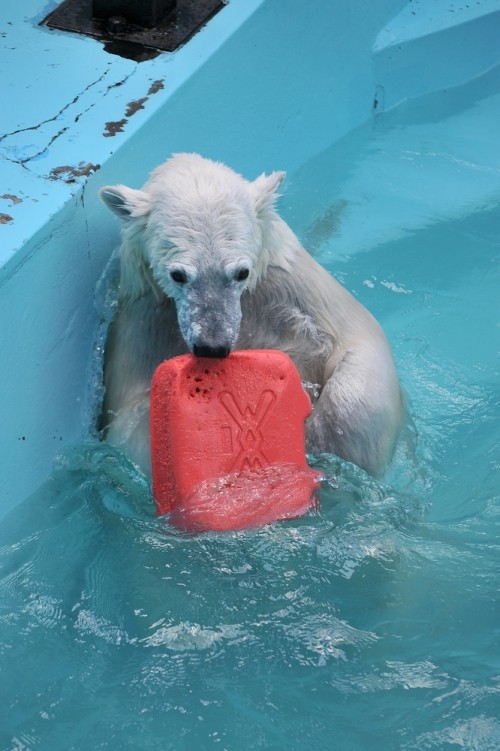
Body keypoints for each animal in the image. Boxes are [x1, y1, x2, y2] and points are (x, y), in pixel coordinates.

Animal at [99, 153, 404, 476]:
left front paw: (325, 442)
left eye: (241, 272)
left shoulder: (292, 292)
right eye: (178, 275)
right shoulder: (145, 320)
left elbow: (358, 351)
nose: (212, 346)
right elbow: (132, 424)